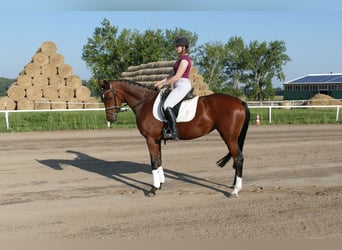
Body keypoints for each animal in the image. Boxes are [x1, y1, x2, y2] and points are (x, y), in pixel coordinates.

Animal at [97, 79, 250, 196]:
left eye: (109, 97)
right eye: (103, 99)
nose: (110, 118)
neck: (145, 102)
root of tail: (239, 102)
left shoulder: (150, 139)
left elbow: (154, 162)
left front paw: (153, 189)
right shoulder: (156, 140)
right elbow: (159, 160)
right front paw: (160, 184)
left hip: (229, 137)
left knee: (238, 158)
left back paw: (235, 190)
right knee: (237, 159)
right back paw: (233, 185)